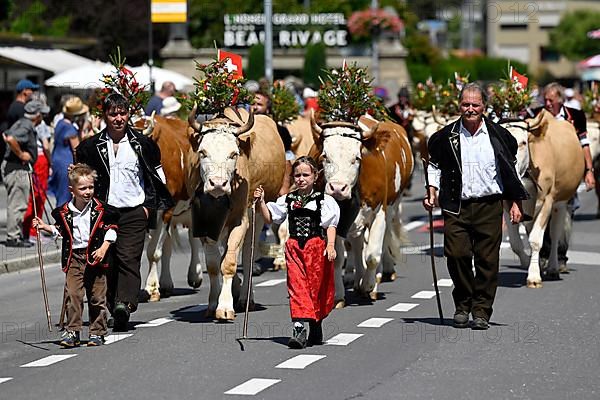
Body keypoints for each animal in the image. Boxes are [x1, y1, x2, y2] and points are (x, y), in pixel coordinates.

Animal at [189, 106, 288, 318]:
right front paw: (213, 303)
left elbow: (229, 262)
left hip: (258, 213)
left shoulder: (240, 220)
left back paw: (245, 298)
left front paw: (225, 306)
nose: (218, 183)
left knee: (248, 253)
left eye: (233, 154)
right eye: (203, 152)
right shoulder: (204, 224)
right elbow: (213, 265)